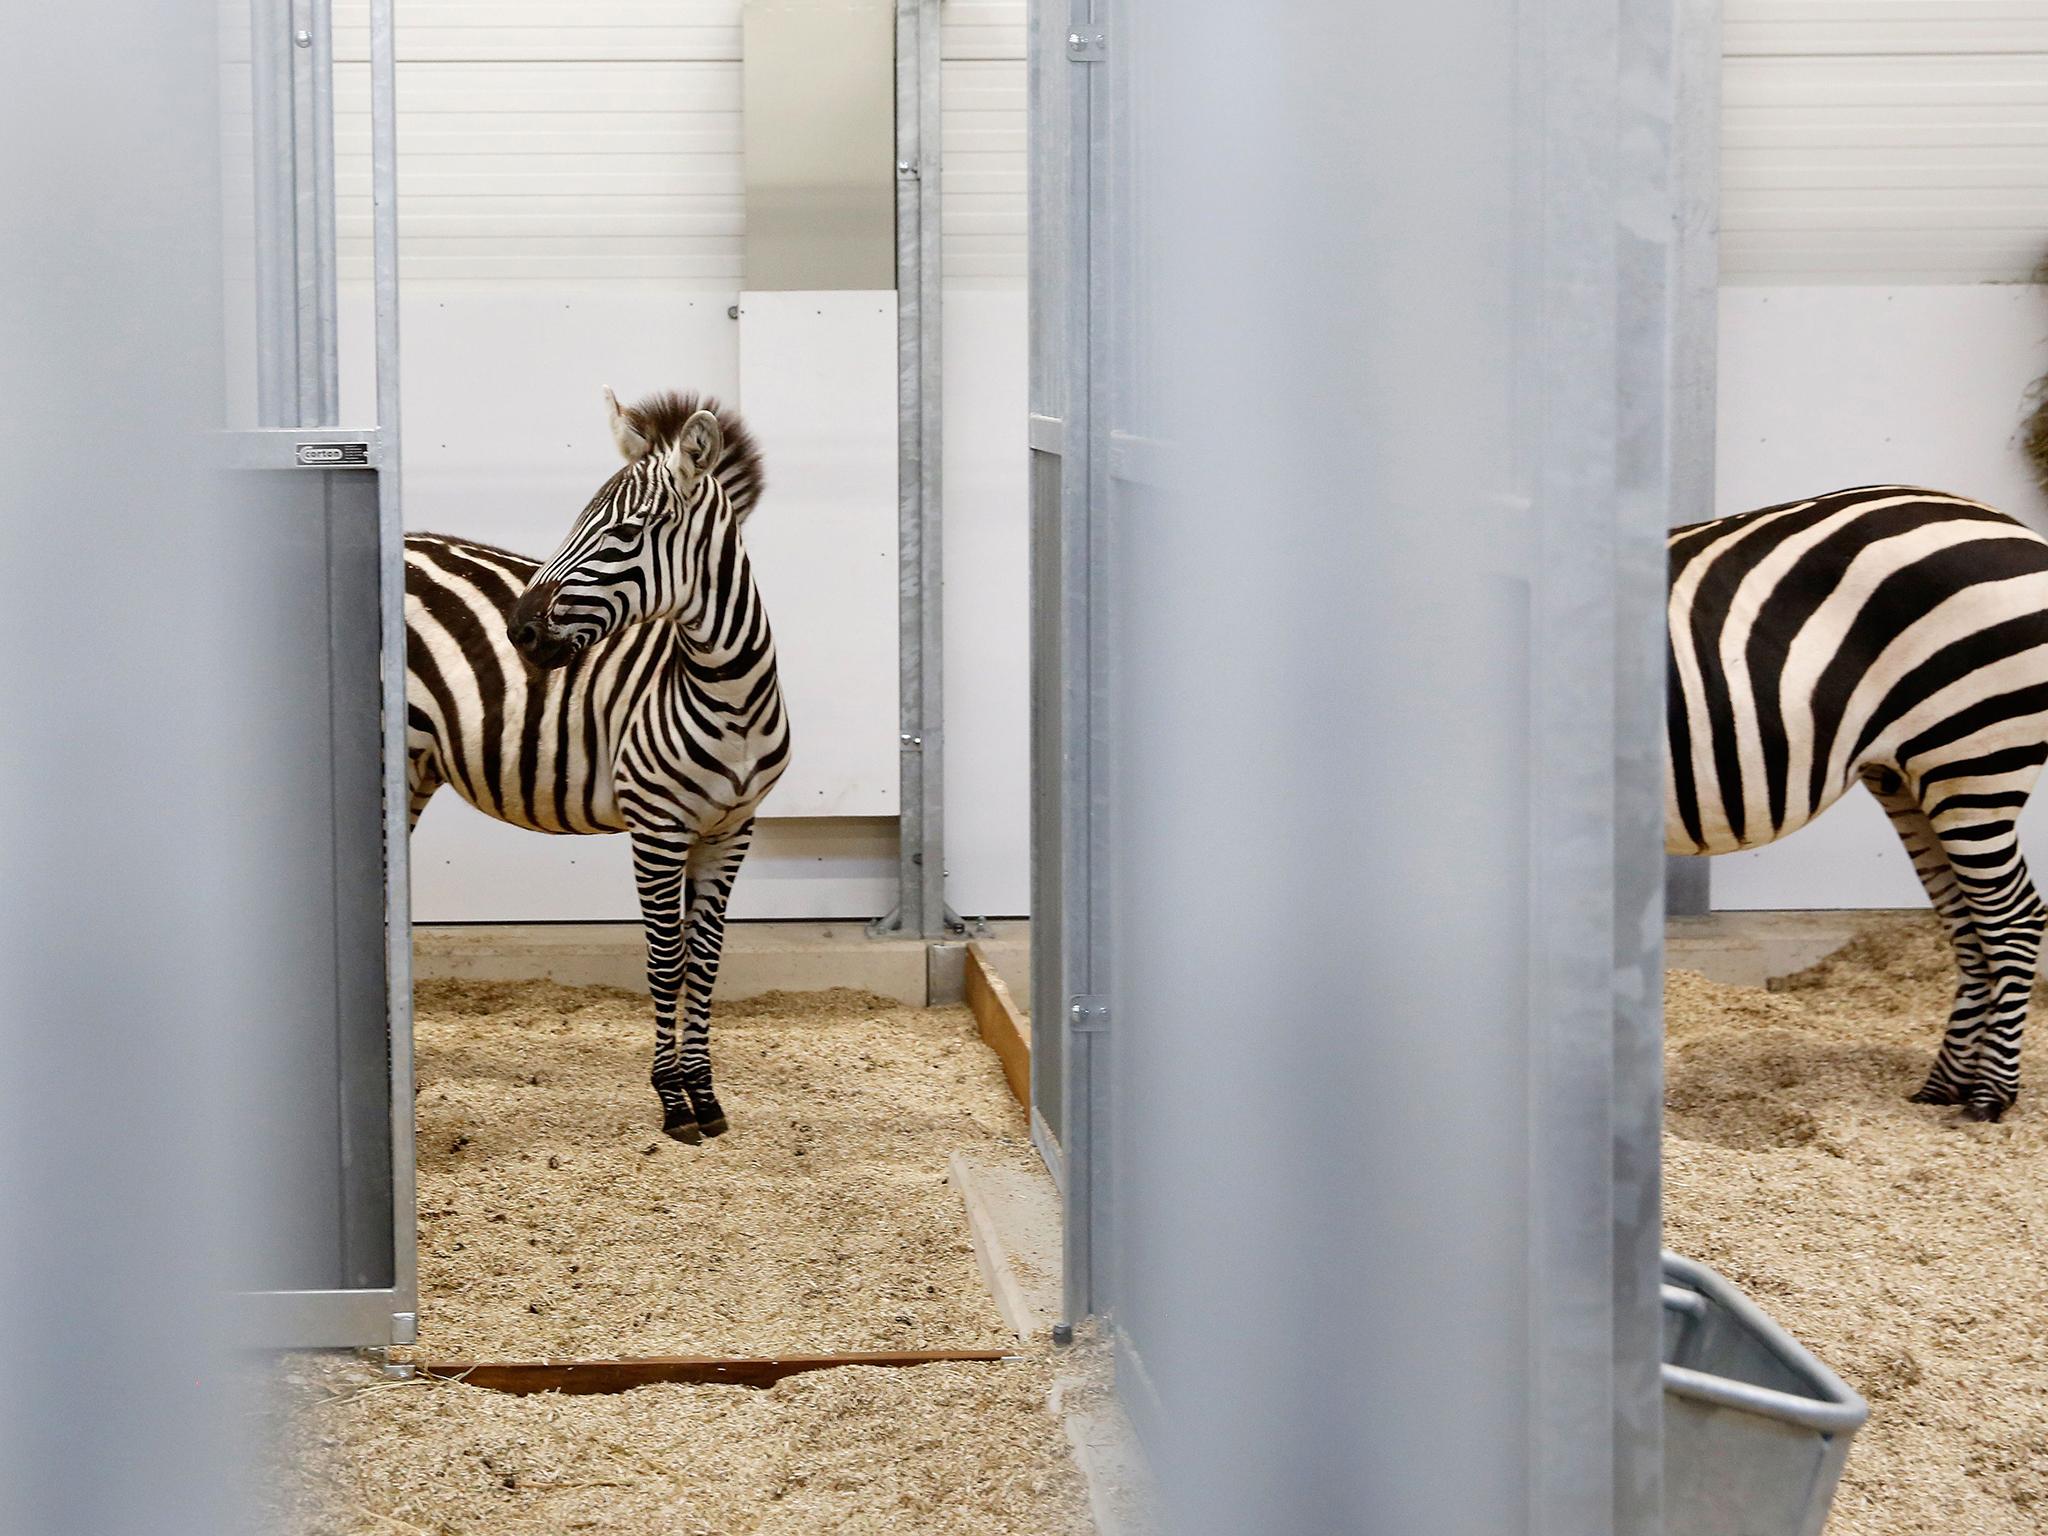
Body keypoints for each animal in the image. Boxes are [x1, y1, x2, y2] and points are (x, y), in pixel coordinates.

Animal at [403, 391, 786, 1146]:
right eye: (579, 519)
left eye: (628, 531)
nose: (519, 630)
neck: (728, 694)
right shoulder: (657, 828)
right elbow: (665, 961)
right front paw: (672, 1102)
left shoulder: (731, 831)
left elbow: (704, 962)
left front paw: (705, 1095)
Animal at [1671, 487, 2048, 1122]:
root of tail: (2013, 524)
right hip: (1913, 776)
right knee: (1968, 925)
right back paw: (1944, 1086)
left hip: (1975, 759)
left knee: (2013, 918)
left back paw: (1990, 1097)